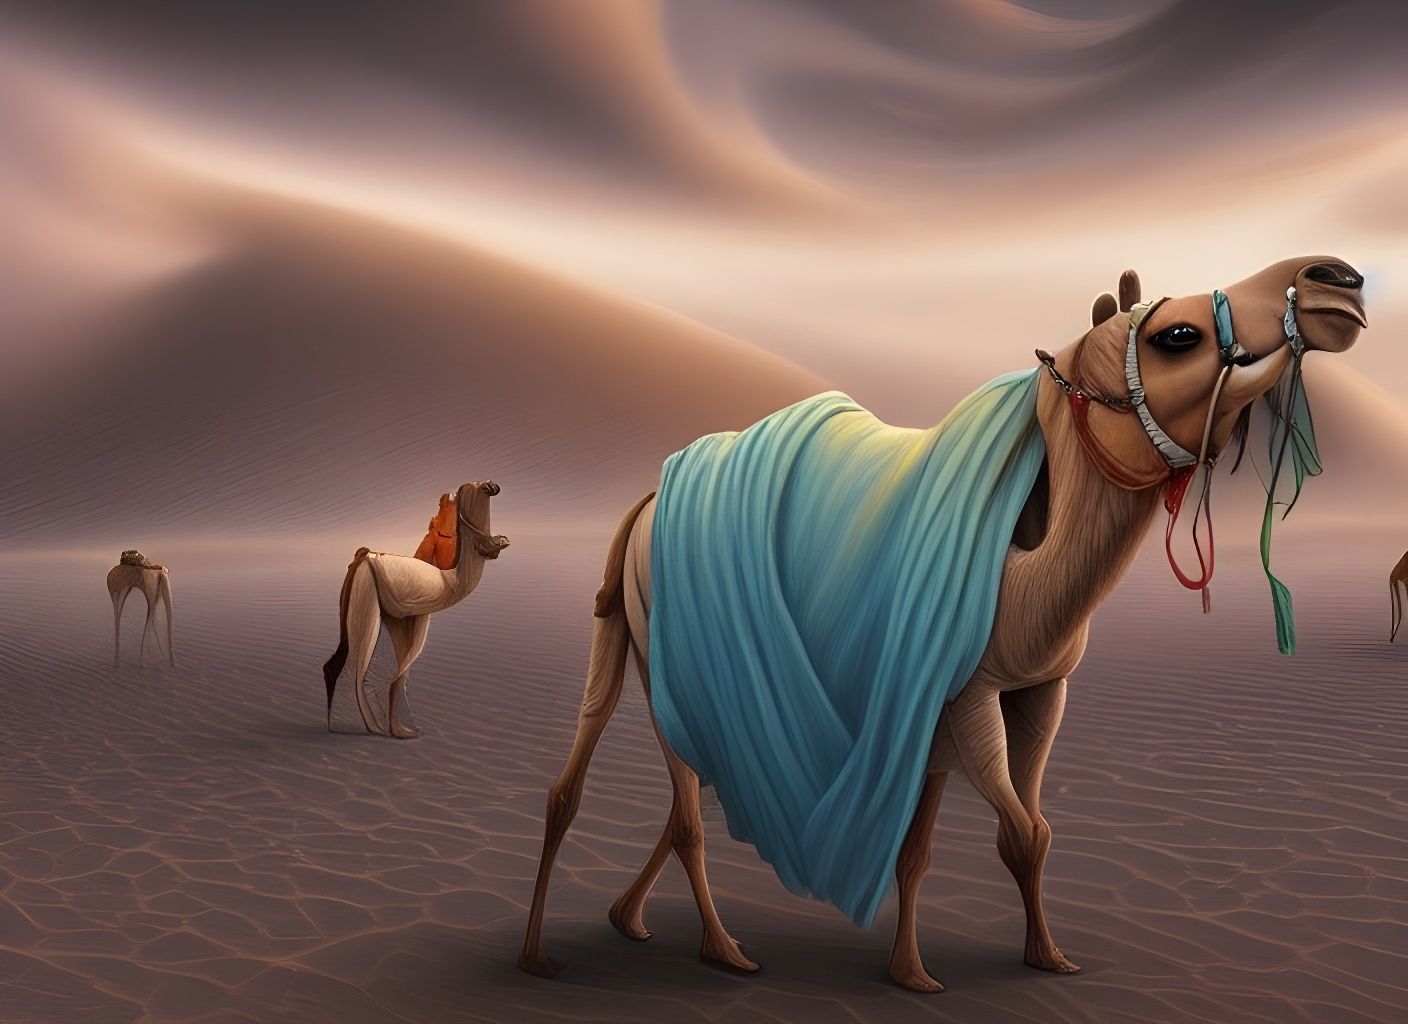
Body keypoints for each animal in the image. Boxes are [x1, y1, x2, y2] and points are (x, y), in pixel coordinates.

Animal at [322, 481, 509, 738]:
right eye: (482, 489)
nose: (502, 543)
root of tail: (363, 557)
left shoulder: (411, 615)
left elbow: (403, 670)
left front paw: (404, 728)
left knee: (343, 662)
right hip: (367, 591)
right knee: (357, 667)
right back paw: (371, 727)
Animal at [519, 256, 1367, 990]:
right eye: (1176, 334)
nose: (1335, 279)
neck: (1023, 581)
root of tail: (645, 503)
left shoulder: (1024, 693)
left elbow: (956, 845)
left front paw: (981, 962)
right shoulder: (966, 693)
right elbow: (1020, 832)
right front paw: (985, 965)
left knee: (671, 794)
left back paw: (627, 920)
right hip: (658, 642)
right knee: (626, 793)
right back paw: (678, 951)